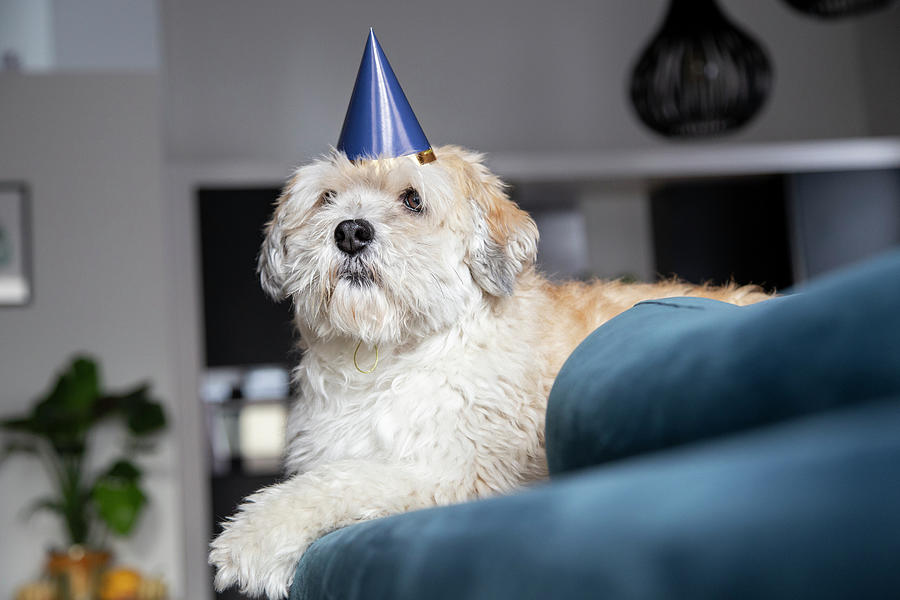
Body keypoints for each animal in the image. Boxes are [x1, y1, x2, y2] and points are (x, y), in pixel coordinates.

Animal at [207, 144, 768, 596]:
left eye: (412, 200)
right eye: (327, 197)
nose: (349, 231)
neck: (390, 355)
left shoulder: (458, 473)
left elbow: (347, 479)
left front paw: (255, 535)